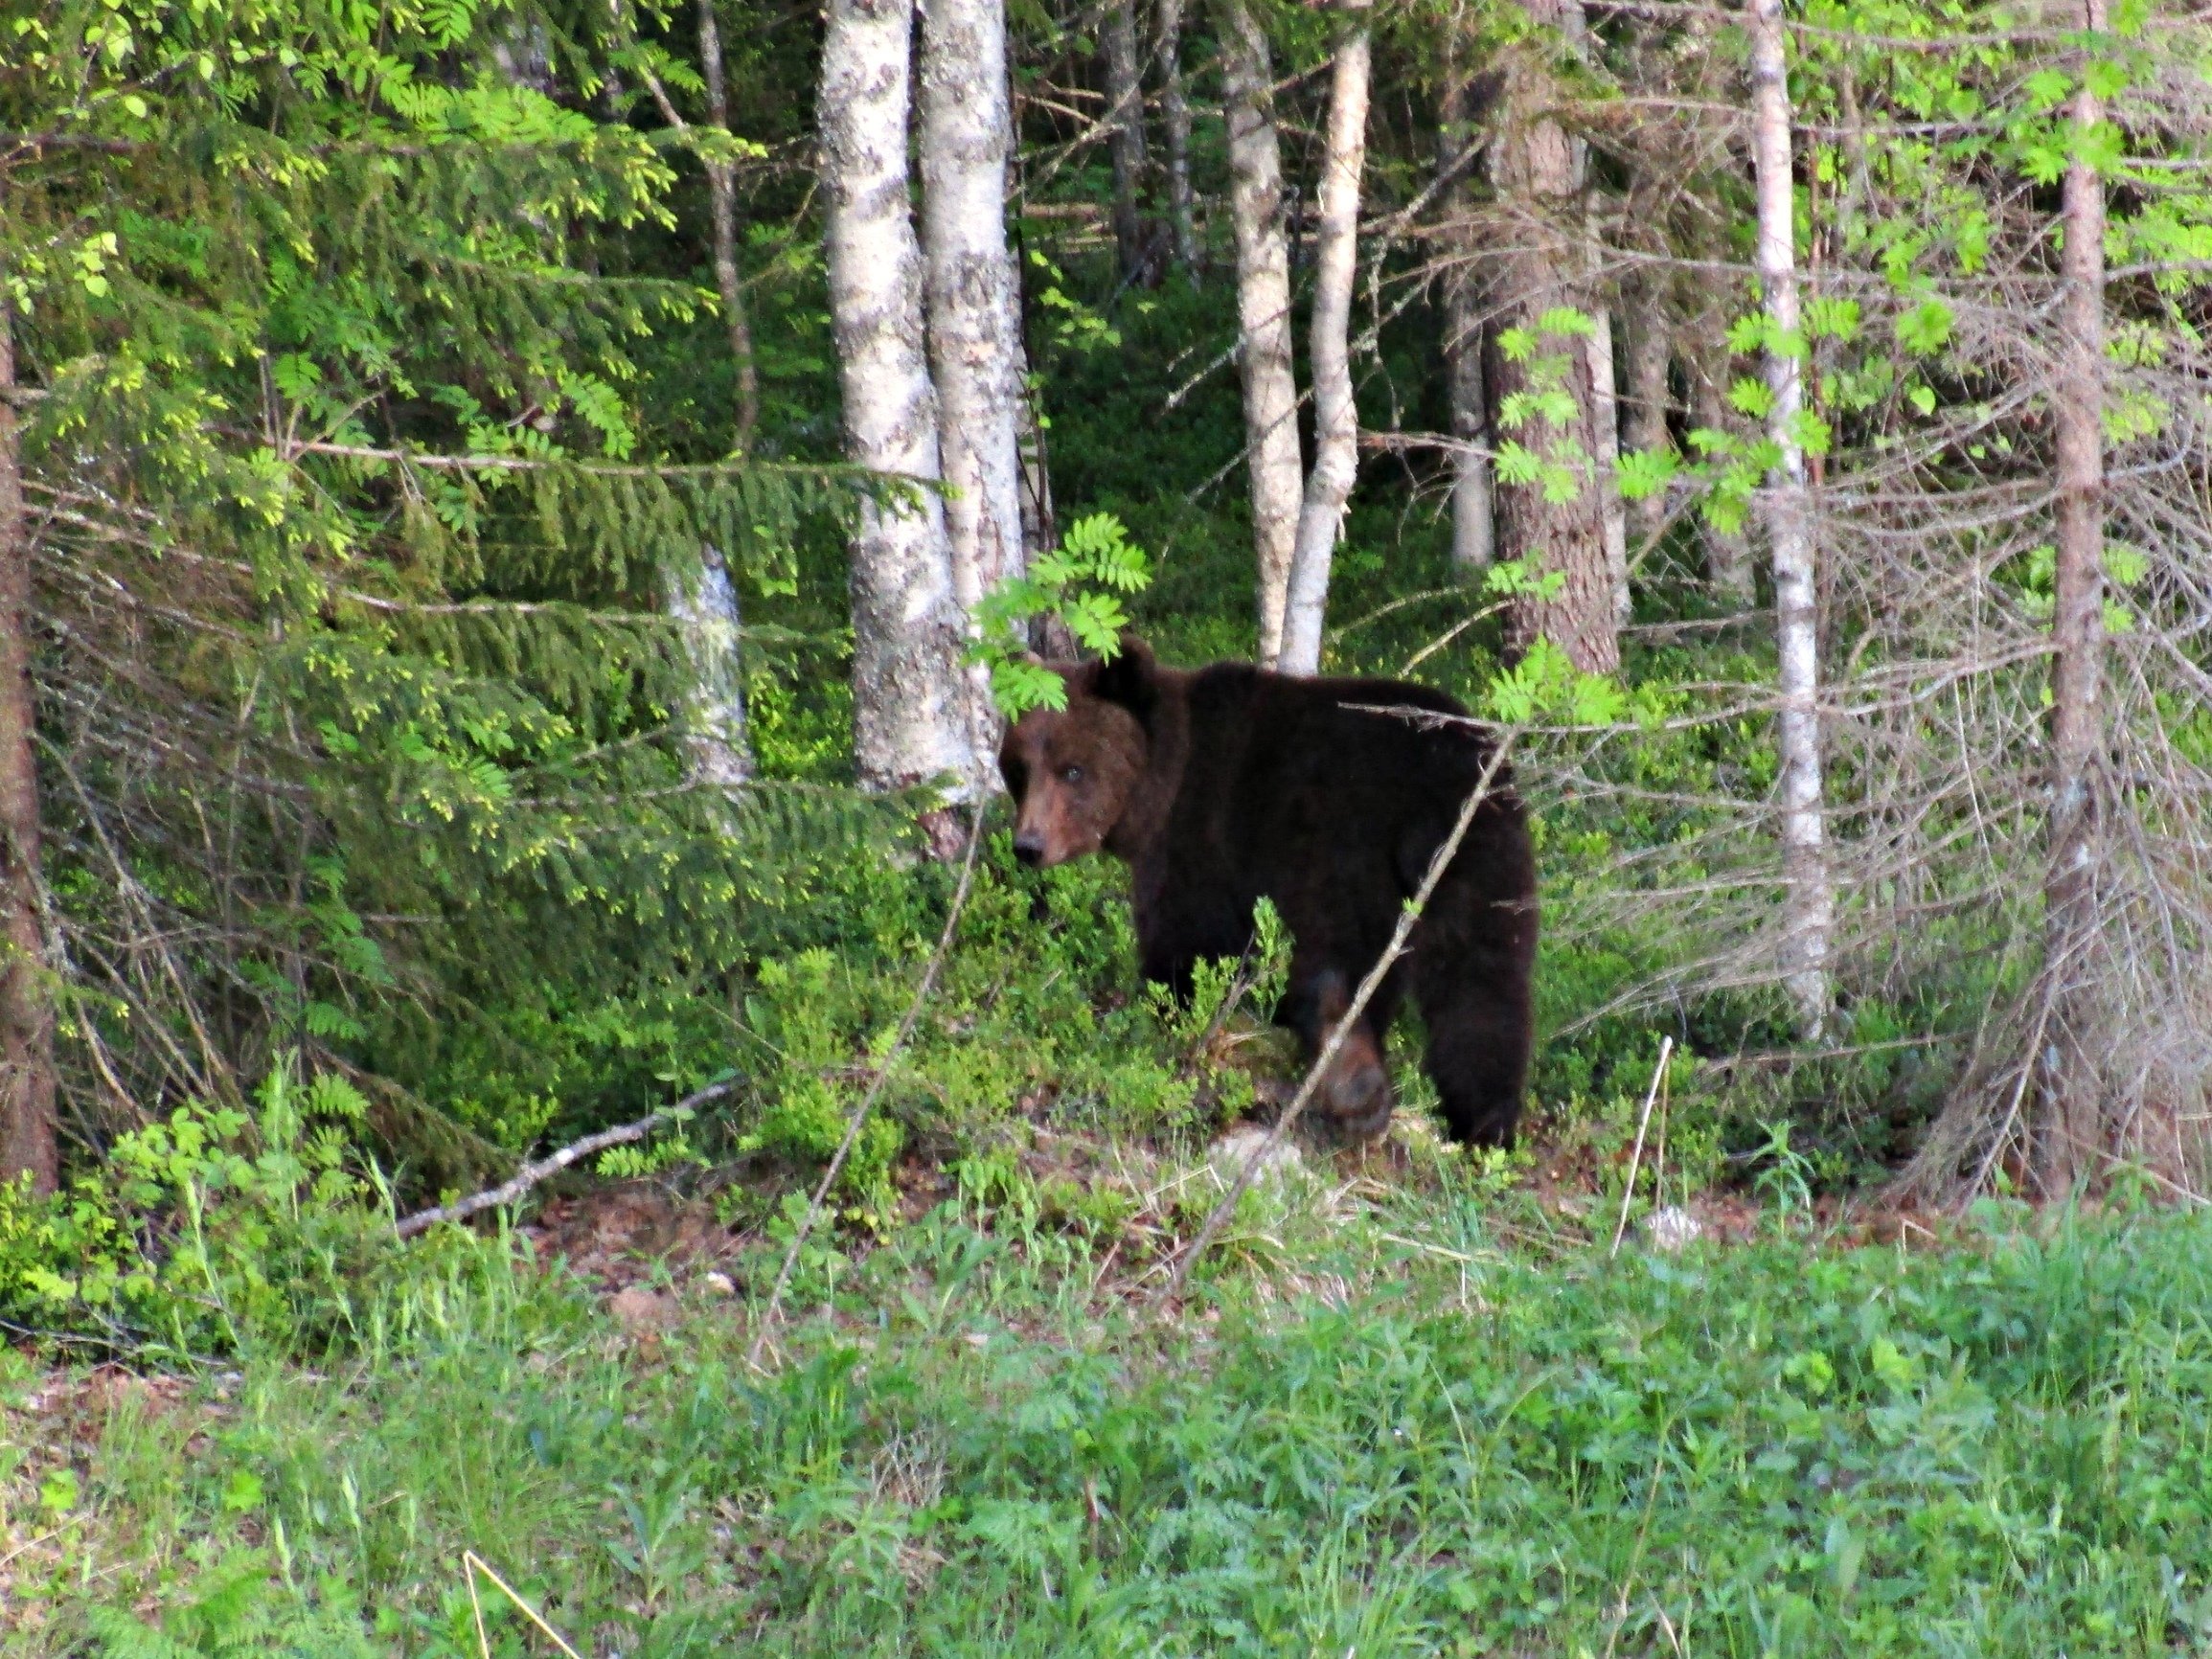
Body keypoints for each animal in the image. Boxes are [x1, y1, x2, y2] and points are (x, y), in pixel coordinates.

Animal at [1004, 641, 1539, 1149]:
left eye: (1073, 770)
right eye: (1020, 770)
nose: (1028, 846)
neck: (1163, 781)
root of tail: (1444, 776)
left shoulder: (1198, 835)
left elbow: (1186, 938)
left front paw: (1169, 1008)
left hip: (1343, 843)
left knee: (1341, 957)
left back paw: (1354, 1086)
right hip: (1486, 858)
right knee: (1485, 984)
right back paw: (1484, 1121)